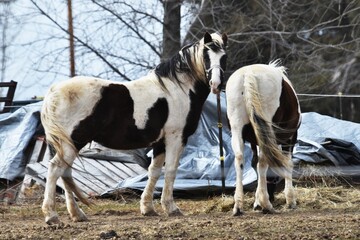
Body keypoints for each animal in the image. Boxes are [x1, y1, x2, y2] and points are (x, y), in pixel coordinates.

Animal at [40, 31, 226, 224]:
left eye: (224, 57)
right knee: (56, 169)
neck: (177, 90)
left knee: (65, 173)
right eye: (206, 56)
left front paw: (148, 208)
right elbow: (170, 170)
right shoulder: (176, 138)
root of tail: (54, 92)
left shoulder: (160, 142)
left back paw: (77, 214)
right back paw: (52, 216)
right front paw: (171, 208)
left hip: (67, 145)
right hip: (73, 143)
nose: (216, 84)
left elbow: (154, 171)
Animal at [226, 61, 300, 215]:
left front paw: (256, 202)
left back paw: (238, 206)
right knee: (263, 162)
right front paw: (290, 200)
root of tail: (248, 73)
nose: (273, 196)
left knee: (240, 158)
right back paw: (267, 205)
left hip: (237, 129)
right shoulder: (290, 138)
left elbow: (254, 163)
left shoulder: (254, 142)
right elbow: (287, 163)